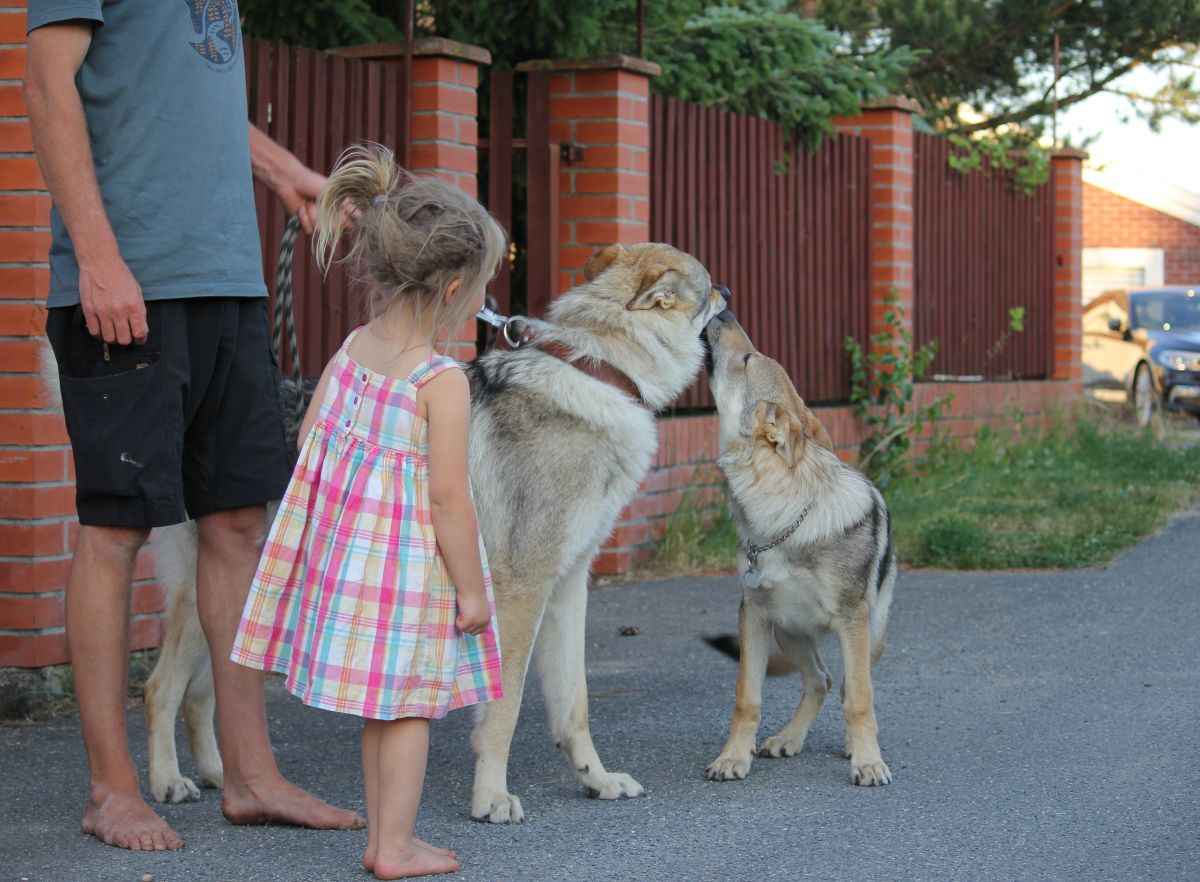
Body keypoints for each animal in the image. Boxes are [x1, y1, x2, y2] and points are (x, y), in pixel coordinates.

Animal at [700, 309, 892, 787]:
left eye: (747, 359)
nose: (725, 306)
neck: (781, 520)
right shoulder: (753, 615)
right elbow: (746, 698)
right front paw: (733, 758)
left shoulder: (853, 620)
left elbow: (860, 699)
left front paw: (868, 762)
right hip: (790, 632)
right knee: (821, 680)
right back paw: (788, 739)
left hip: (868, 632)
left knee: (848, 685)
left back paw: (852, 748)